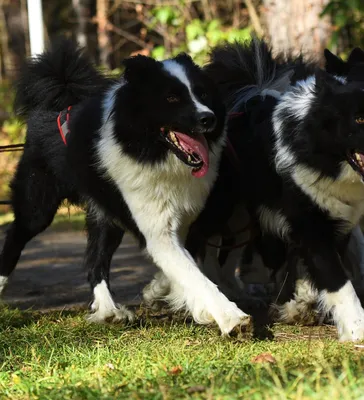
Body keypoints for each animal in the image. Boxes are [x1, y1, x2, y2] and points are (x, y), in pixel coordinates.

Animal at [0, 39, 250, 334]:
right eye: (171, 98)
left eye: (202, 93)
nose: (208, 118)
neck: (149, 151)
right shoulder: (156, 227)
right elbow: (192, 274)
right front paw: (230, 317)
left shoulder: (183, 221)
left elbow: (182, 267)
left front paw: (161, 292)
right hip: (38, 204)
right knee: (16, 236)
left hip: (105, 215)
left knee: (95, 260)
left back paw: (108, 310)